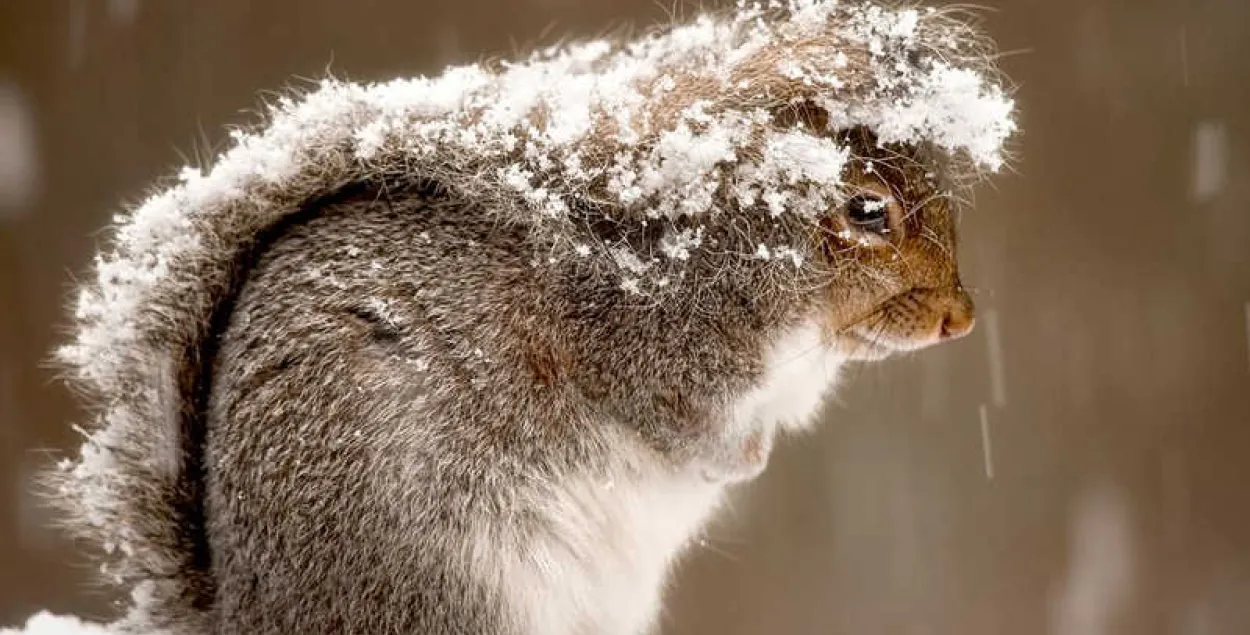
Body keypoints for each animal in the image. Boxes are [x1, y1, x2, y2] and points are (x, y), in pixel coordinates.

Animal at [44, 2, 1015, 632]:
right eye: (866, 211)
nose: (963, 318)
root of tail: (252, 615)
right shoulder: (644, 352)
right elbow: (682, 427)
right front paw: (740, 459)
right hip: (449, 586)